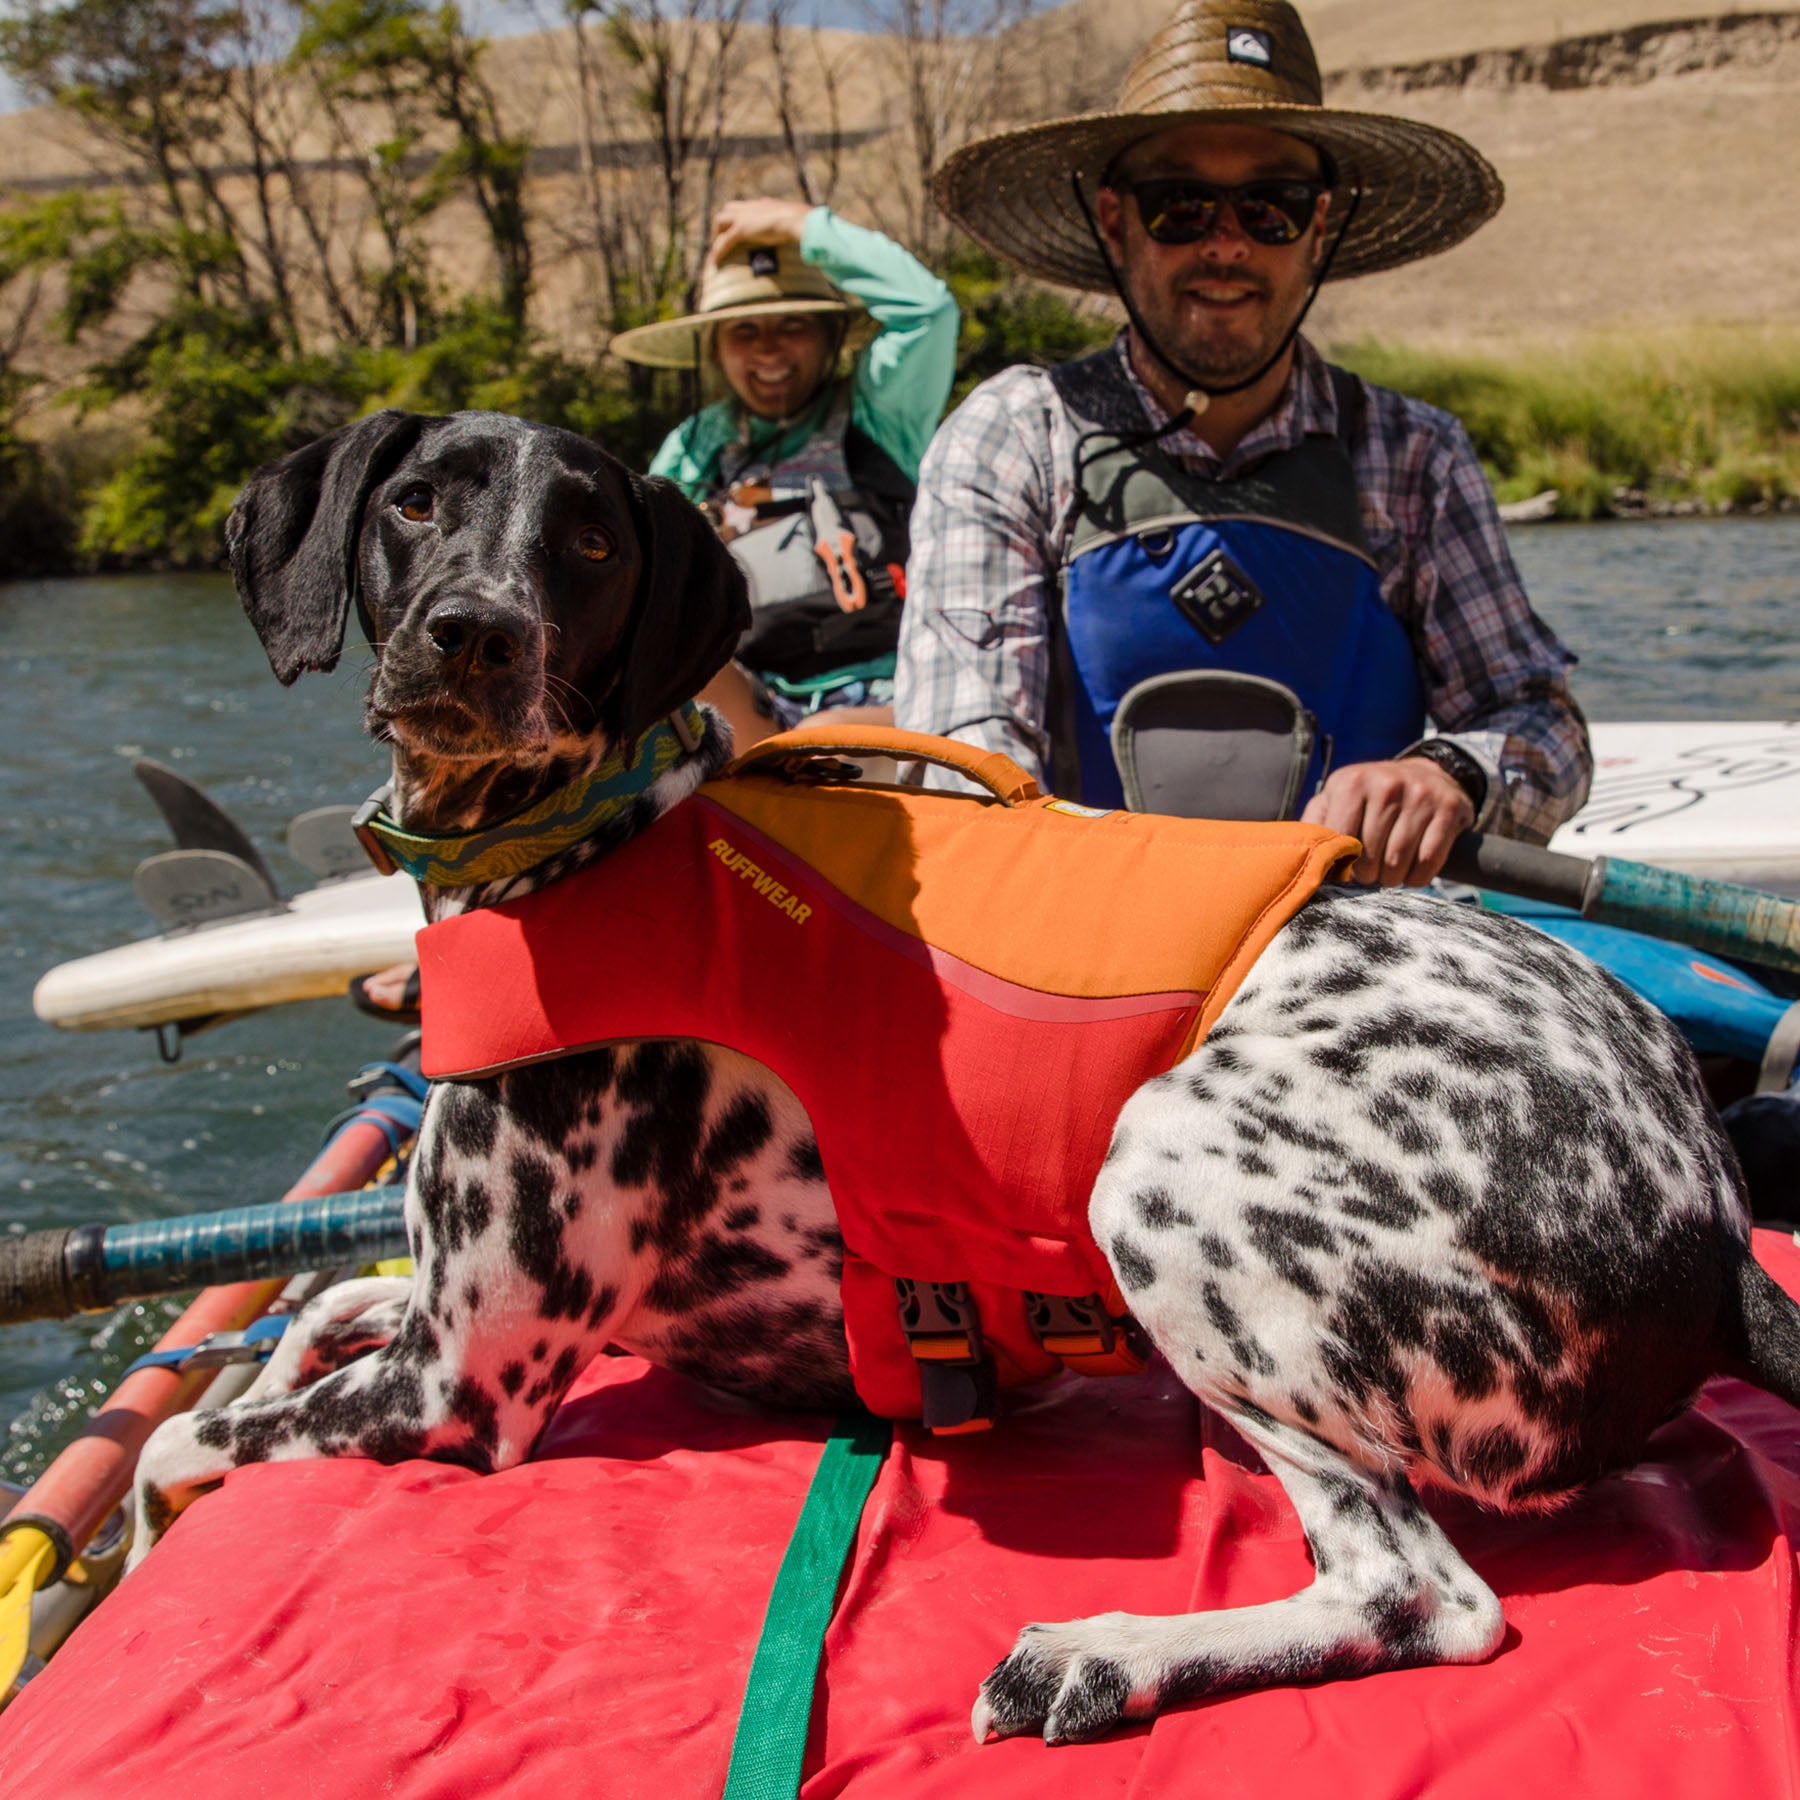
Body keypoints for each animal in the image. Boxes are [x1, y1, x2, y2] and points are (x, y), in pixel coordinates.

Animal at [133, 412, 1800, 1742]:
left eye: (591, 540)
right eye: (417, 504)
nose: (472, 634)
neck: (585, 838)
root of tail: (1716, 1212)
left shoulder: (461, 1389)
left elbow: (170, 1443)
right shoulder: (428, 1312)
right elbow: (308, 1319)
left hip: (1161, 1164)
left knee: (1419, 1593)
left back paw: (1105, 1660)